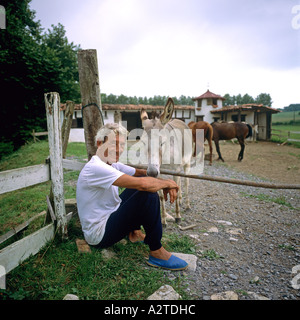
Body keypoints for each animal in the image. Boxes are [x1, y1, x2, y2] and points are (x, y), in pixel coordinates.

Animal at [140, 97, 192, 225]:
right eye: (143, 143)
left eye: (162, 142)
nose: (152, 173)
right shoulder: (160, 171)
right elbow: (161, 196)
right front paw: (163, 220)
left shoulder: (175, 169)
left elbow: (177, 190)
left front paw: (178, 217)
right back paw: (181, 201)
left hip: (186, 164)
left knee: (186, 183)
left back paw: (187, 205)